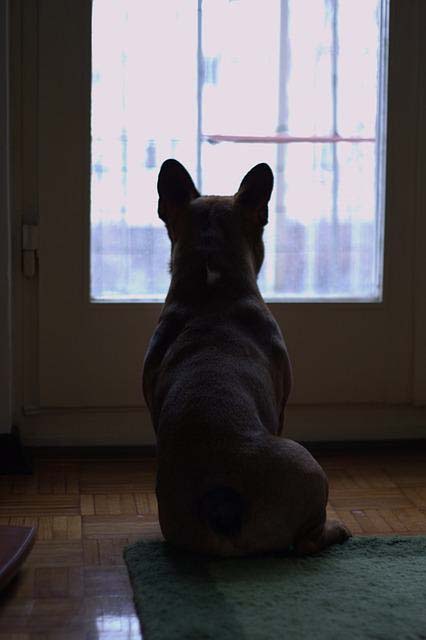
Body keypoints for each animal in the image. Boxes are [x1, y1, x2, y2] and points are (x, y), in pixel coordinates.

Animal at [143, 159, 350, 556]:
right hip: (308, 465)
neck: (210, 289)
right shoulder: (281, 403)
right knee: (306, 542)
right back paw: (337, 530)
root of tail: (222, 502)